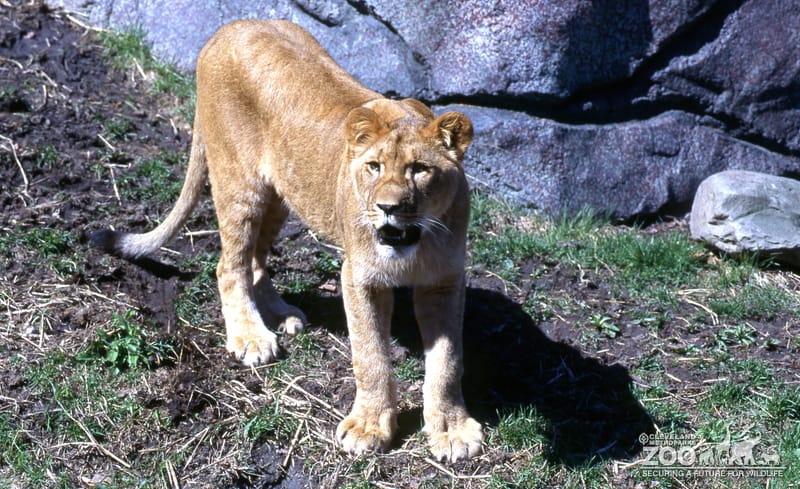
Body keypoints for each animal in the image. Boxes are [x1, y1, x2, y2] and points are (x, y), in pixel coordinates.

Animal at [91, 20, 482, 461]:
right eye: (373, 167)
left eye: (419, 169)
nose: (387, 207)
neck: (414, 243)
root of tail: (228, 29)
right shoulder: (359, 276)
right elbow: (371, 355)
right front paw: (368, 426)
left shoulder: (444, 280)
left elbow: (447, 361)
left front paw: (451, 429)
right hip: (239, 185)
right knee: (229, 265)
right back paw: (251, 338)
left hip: (279, 194)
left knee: (256, 261)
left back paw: (278, 315)